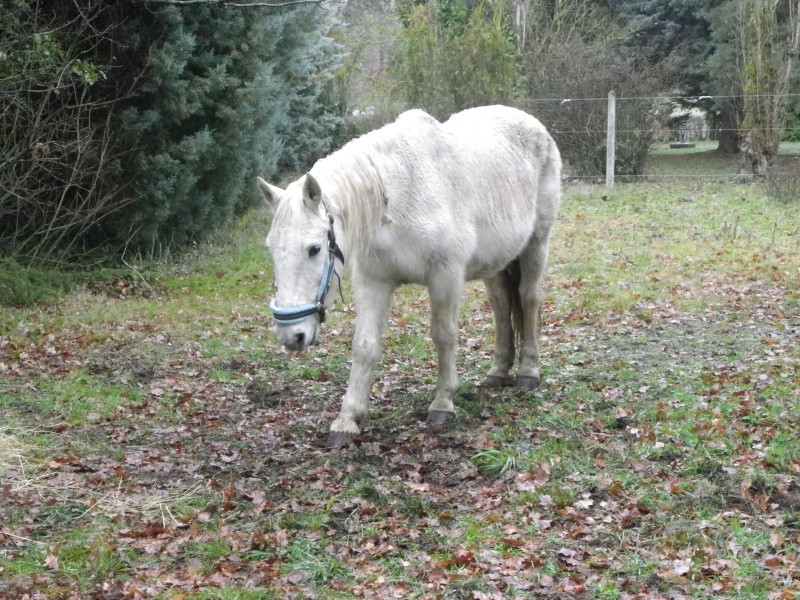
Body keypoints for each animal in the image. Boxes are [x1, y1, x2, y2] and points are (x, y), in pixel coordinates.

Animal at [260, 106, 560, 446]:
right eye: (271, 250)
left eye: (314, 249)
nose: (291, 336)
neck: (395, 197)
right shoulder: (372, 282)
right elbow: (364, 346)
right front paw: (347, 419)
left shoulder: (446, 276)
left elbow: (444, 335)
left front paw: (443, 403)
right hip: (497, 262)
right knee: (500, 306)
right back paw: (498, 370)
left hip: (536, 245)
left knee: (529, 299)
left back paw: (527, 372)